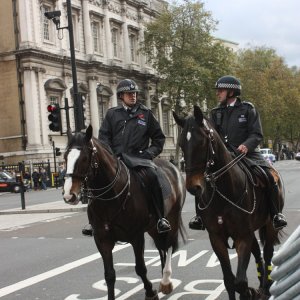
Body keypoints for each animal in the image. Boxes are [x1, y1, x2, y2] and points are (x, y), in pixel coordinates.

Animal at [62, 125, 186, 300]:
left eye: (85, 158)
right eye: (65, 157)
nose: (69, 195)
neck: (110, 198)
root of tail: (171, 165)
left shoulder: (136, 236)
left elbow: (140, 268)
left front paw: (150, 292)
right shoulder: (102, 239)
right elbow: (109, 275)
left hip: (172, 217)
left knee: (168, 245)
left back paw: (166, 280)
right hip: (153, 226)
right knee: (161, 246)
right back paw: (164, 278)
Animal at [173, 106, 284, 298]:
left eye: (202, 142)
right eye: (181, 144)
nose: (193, 187)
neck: (223, 194)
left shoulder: (242, 236)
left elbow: (240, 281)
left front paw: (248, 292)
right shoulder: (217, 237)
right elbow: (229, 281)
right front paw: (248, 291)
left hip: (270, 224)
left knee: (268, 253)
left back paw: (266, 286)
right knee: (258, 252)